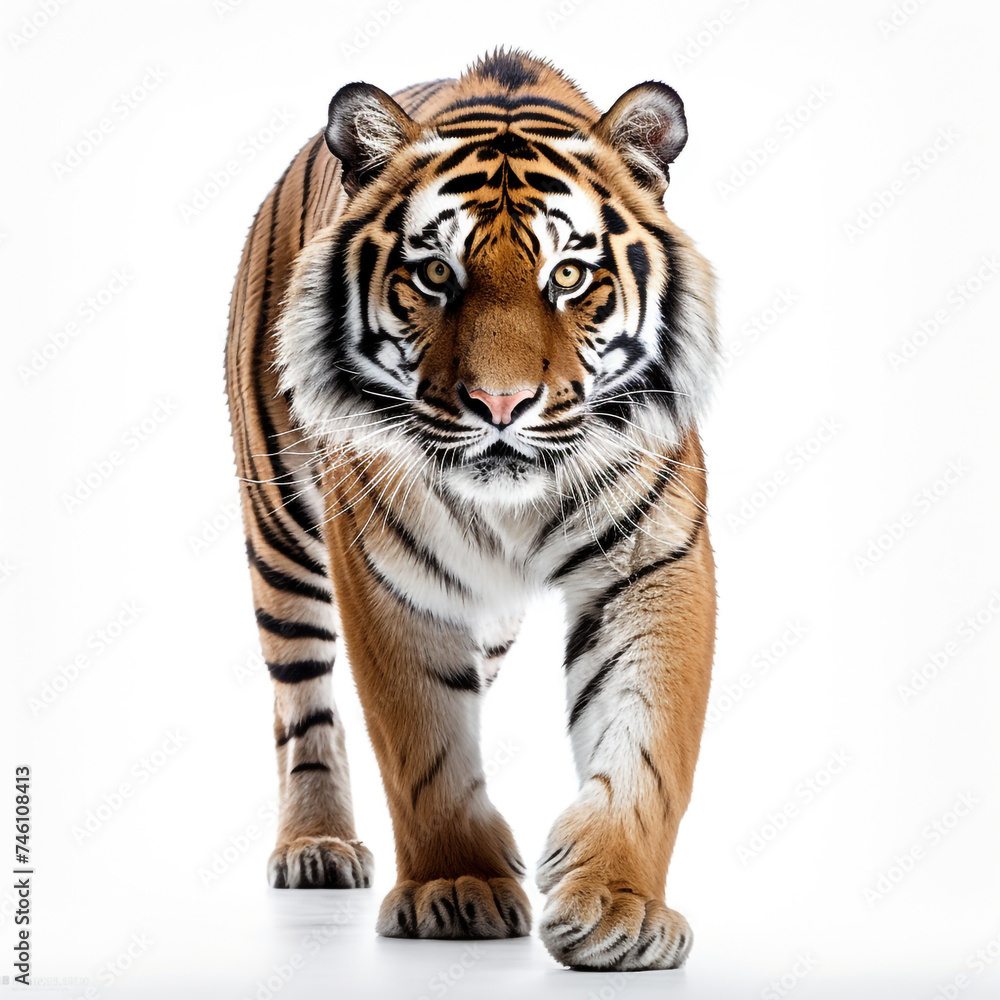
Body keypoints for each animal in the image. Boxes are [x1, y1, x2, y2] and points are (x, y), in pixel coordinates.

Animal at [224, 49, 718, 972]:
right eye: (434, 275)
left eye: (568, 276)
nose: (499, 403)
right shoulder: (387, 572)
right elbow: (421, 740)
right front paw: (454, 885)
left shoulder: (653, 561)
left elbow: (645, 743)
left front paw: (618, 905)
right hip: (281, 531)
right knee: (304, 701)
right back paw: (316, 845)